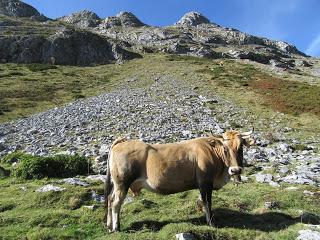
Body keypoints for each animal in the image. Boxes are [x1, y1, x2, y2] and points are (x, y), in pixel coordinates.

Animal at [104, 130, 254, 232]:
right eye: (225, 148)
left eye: (240, 147)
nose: (235, 170)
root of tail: (123, 141)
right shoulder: (206, 182)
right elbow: (207, 202)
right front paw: (211, 222)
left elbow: (202, 201)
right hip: (122, 183)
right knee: (116, 203)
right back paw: (116, 227)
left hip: (117, 185)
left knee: (110, 199)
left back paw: (108, 225)